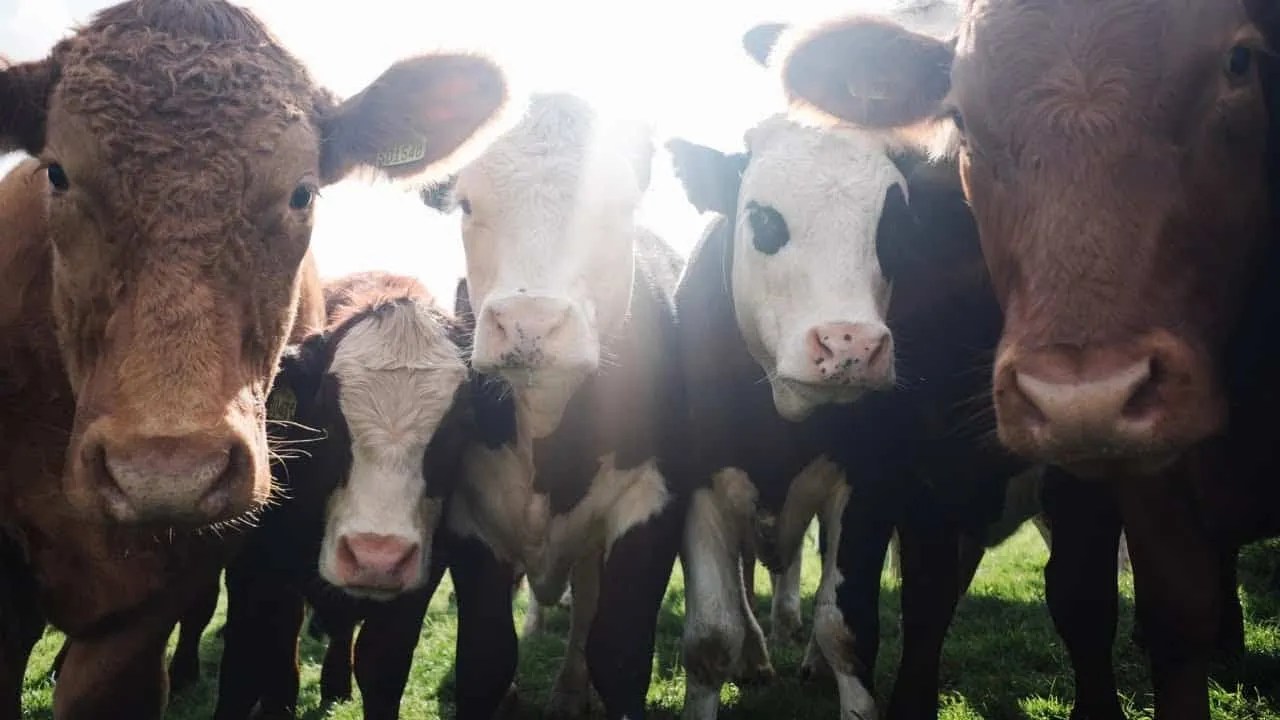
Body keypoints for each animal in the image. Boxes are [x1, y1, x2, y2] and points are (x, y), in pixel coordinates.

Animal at [213, 271, 485, 720]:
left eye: (462, 422)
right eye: (327, 414)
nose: (376, 557)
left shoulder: (416, 589)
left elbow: (380, 668)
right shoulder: (263, 570)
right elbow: (266, 665)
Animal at [421, 92, 687, 720]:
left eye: (618, 206)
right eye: (466, 203)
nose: (530, 323)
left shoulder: (654, 501)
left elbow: (619, 652)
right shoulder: (469, 516)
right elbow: (485, 658)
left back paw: (568, 690)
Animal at [668, 16, 1035, 719]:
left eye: (894, 228)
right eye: (763, 219)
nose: (850, 345)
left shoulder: (869, 482)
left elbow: (846, 625)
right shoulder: (697, 478)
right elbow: (710, 637)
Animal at [766, 0, 1279, 717]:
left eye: (1238, 62)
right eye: (959, 114)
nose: (1082, 398)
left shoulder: (1087, 483)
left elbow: (1082, 598)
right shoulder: (919, 465)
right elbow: (926, 600)